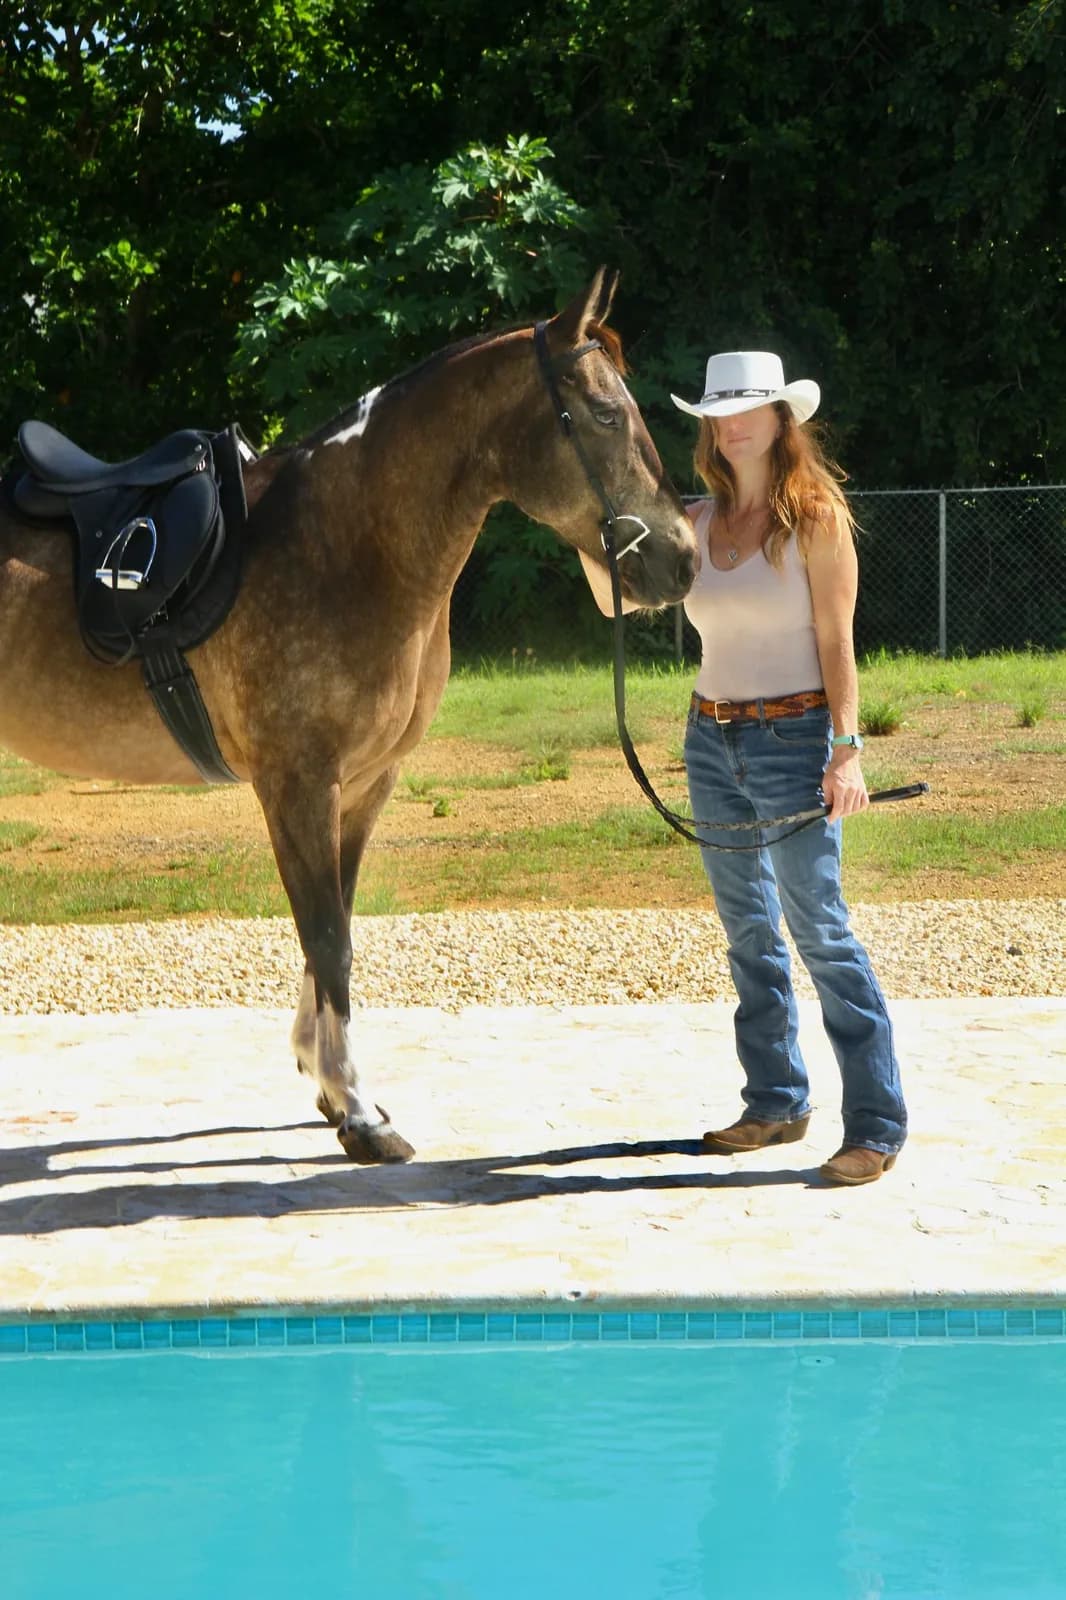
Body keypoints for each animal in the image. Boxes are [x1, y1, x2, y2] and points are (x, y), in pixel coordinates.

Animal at [0, 269, 697, 1162]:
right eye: (607, 413)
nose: (682, 561)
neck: (351, 544)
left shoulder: (364, 784)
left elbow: (334, 923)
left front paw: (329, 1088)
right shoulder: (298, 783)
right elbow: (327, 934)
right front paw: (361, 1116)